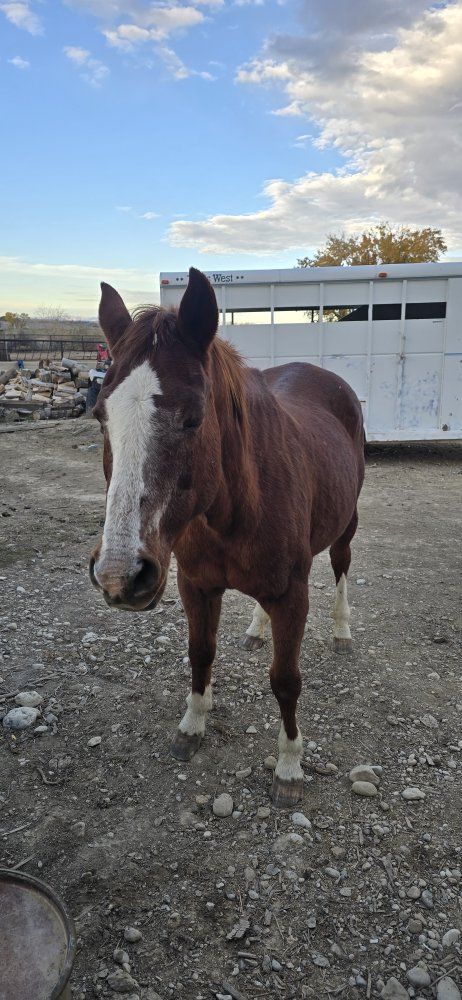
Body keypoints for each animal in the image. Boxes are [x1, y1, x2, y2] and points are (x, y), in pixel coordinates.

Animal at [89, 267, 365, 808]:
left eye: (193, 417)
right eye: (100, 416)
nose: (119, 577)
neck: (234, 508)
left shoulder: (293, 593)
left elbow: (286, 681)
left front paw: (289, 766)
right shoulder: (195, 585)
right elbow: (201, 654)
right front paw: (192, 726)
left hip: (346, 526)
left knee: (343, 566)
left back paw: (342, 631)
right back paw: (257, 629)